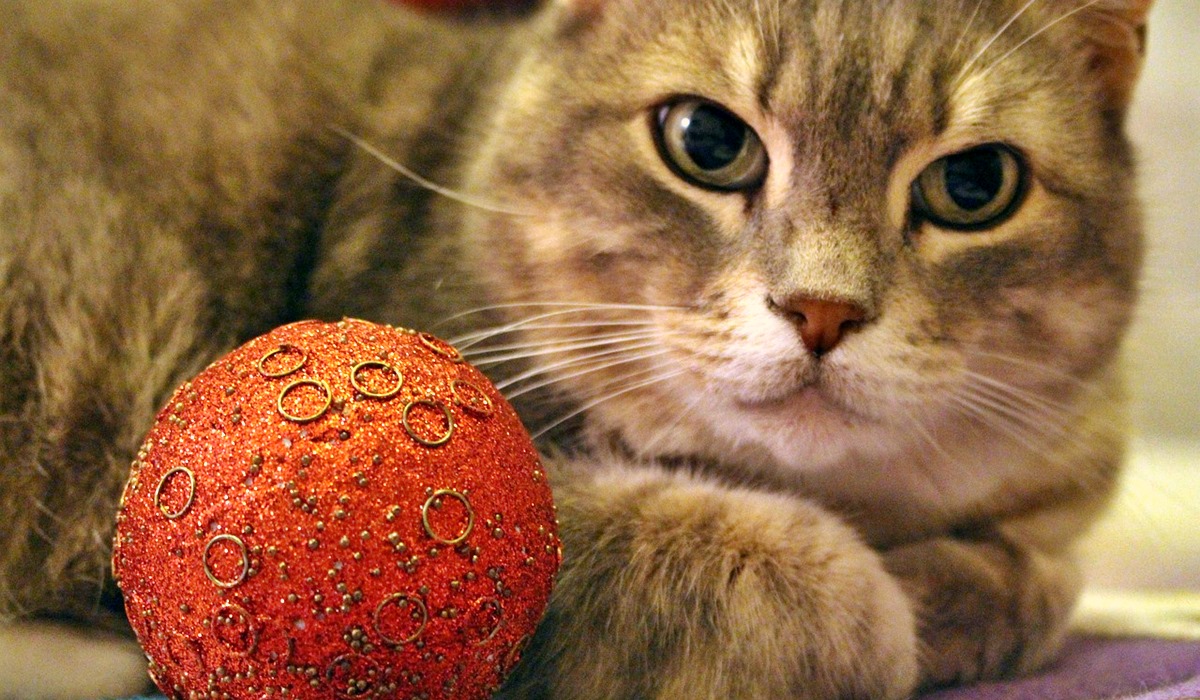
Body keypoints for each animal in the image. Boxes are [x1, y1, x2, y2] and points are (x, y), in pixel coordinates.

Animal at [0, 0, 1152, 696]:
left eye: (974, 186)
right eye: (707, 141)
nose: (822, 310)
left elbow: (1050, 576)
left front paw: (962, 590)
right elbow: (796, 568)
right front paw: (892, 612)